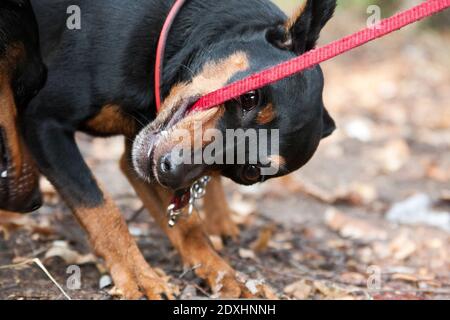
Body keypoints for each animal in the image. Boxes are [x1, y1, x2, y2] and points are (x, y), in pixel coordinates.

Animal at [24, 0, 334, 298]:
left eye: (250, 172)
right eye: (250, 97)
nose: (169, 171)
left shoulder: (139, 160)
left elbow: (189, 226)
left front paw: (224, 274)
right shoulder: (42, 122)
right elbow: (101, 208)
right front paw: (139, 277)